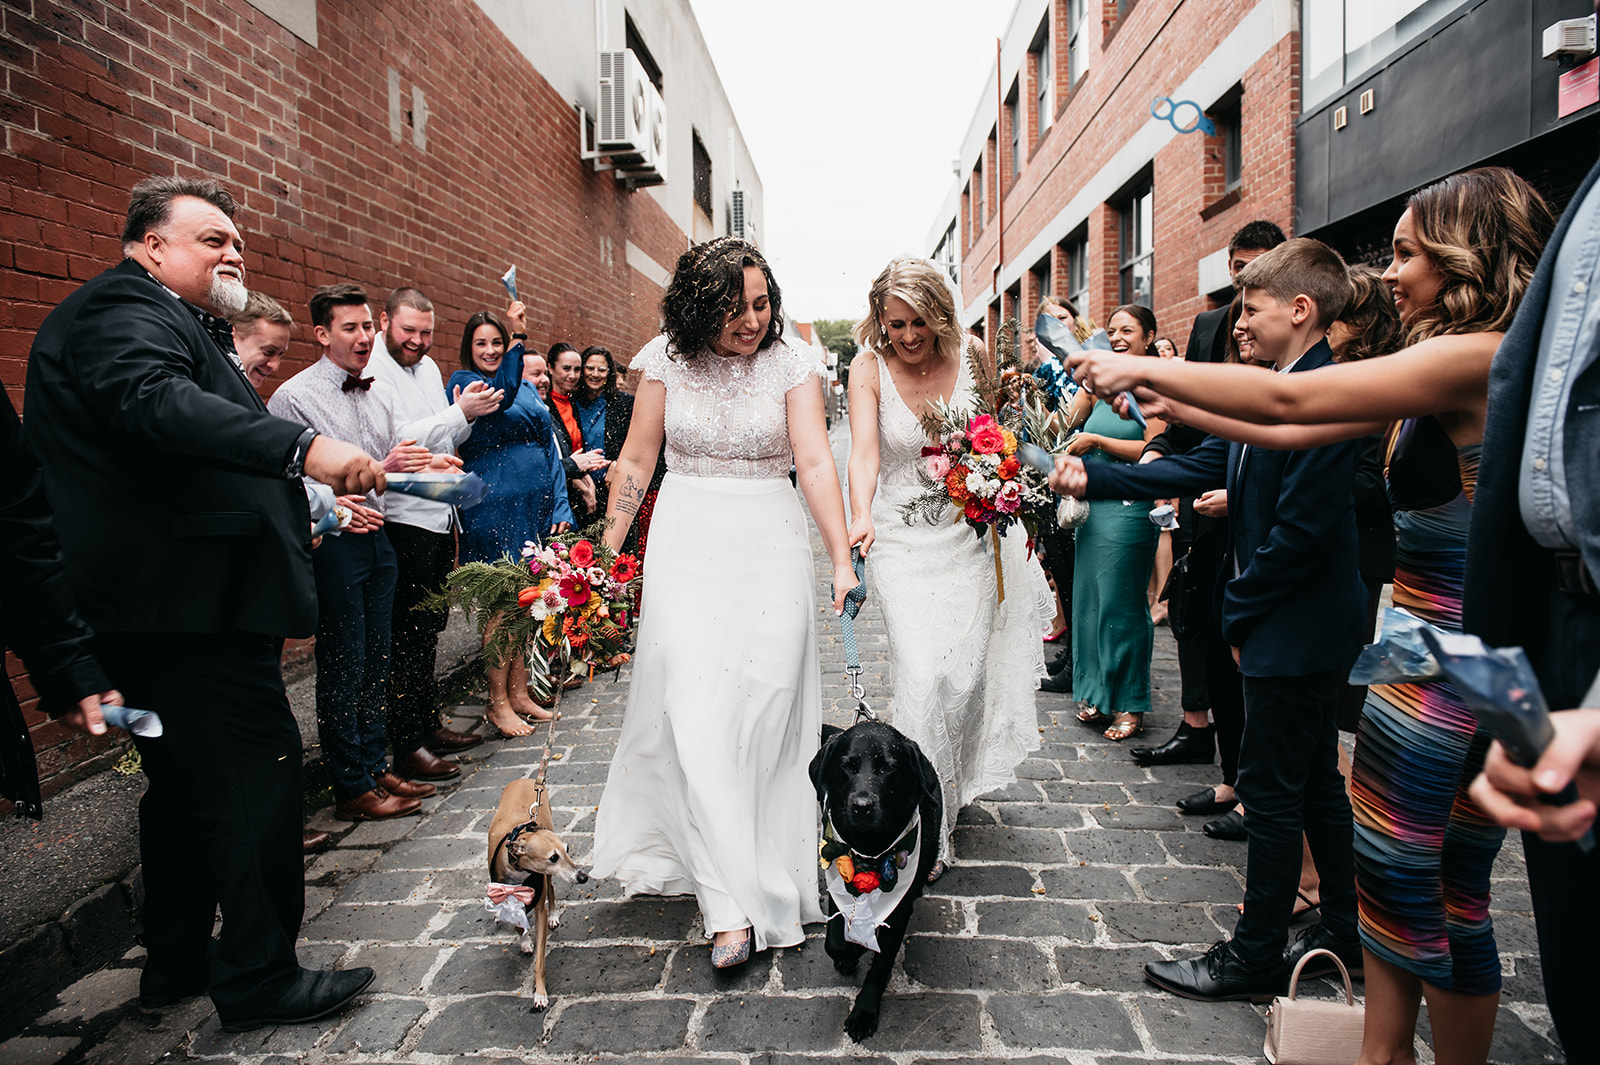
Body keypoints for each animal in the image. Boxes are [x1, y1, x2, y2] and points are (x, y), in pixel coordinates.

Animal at [486, 770, 595, 1004]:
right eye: (553, 857)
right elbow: (517, 924)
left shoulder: (539, 908)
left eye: (567, 849)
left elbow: (540, 962)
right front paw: (525, 941)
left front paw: (540, 994)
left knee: (551, 890)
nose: (583, 877)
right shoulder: (509, 896)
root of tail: (525, 779)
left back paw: (554, 915)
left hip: (547, 877)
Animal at [812, 716, 934, 1042]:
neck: (869, 849)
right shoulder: (837, 879)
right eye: (847, 765)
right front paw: (849, 951)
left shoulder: (901, 911)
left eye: (888, 767)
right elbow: (835, 941)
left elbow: (880, 965)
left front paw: (864, 1012)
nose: (862, 806)